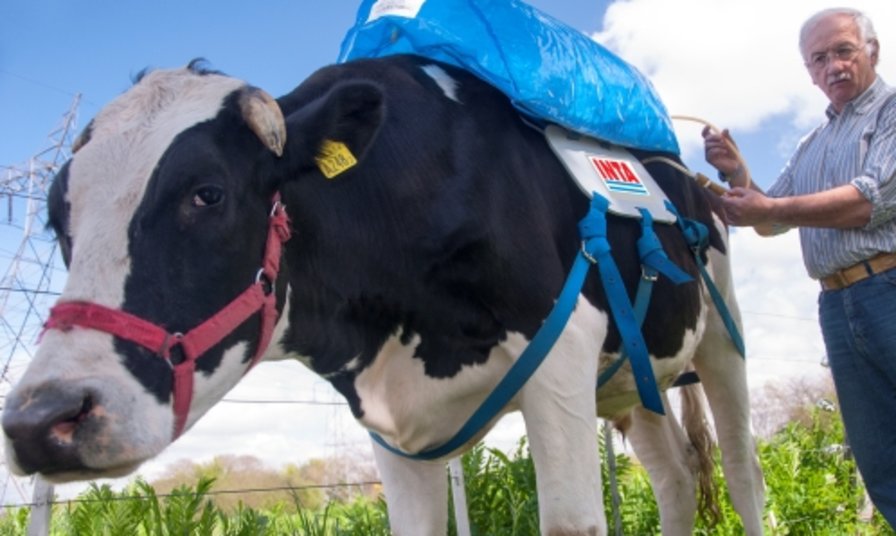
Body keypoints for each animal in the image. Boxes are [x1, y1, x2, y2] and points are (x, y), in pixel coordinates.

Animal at [1, 56, 764, 532]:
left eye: (207, 193)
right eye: (57, 219)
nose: (41, 420)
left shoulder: (561, 358)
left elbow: (574, 523)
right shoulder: (388, 414)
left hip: (723, 341)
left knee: (739, 470)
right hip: (631, 382)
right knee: (675, 477)